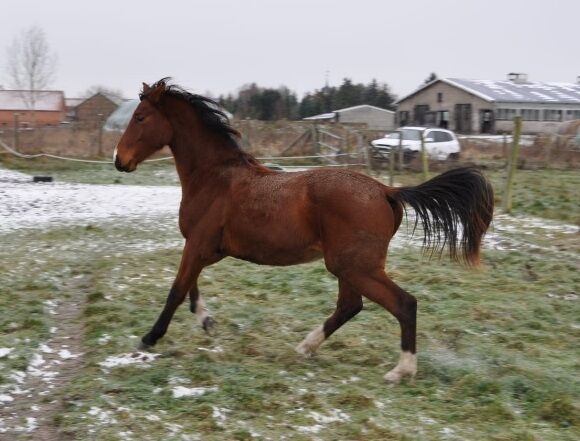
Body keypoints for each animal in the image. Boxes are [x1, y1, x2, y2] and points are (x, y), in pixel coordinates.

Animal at [114, 78, 494, 382]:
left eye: (141, 117)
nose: (120, 160)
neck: (214, 178)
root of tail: (387, 191)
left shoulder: (197, 245)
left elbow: (177, 291)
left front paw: (149, 338)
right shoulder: (202, 248)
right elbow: (190, 288)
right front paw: (207, 322)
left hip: (355, 266)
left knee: (403, 304)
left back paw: (401, 371)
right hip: (348, 266)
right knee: (350, 306)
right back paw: (305, 347)